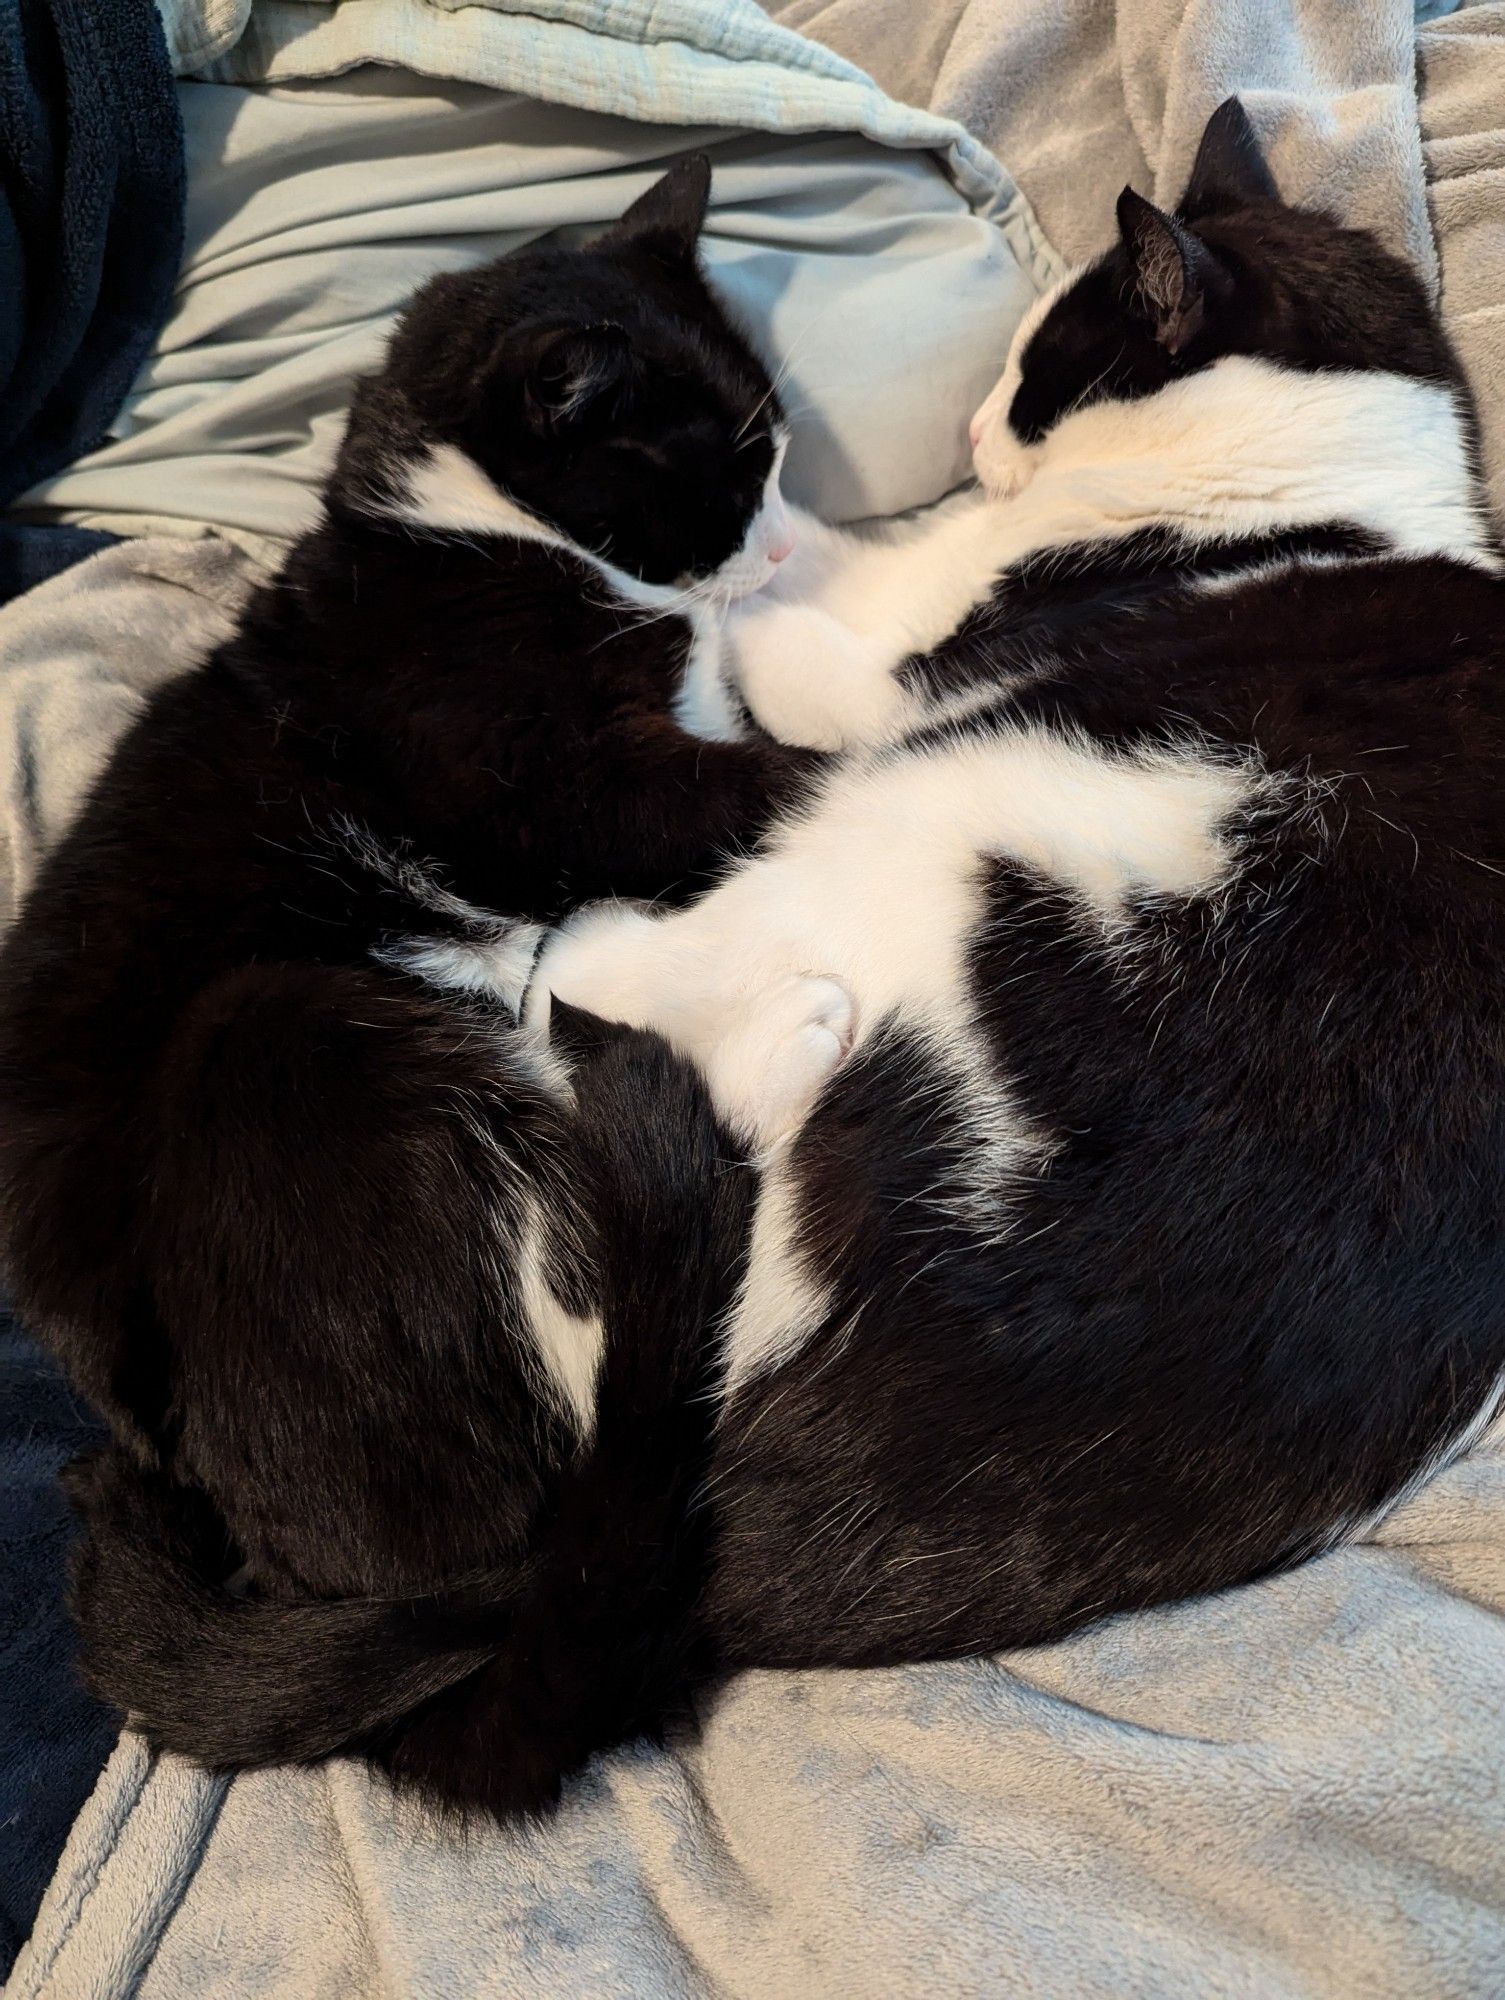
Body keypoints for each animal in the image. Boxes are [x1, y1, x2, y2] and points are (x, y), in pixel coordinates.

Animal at [29, 105, 1505, 1832]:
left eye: (1038, 365)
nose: (977, 432)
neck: (1322, 487)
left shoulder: (894, 682)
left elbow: (796, 651)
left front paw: (769, 598)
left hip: (927, 838)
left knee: (624, 1067)